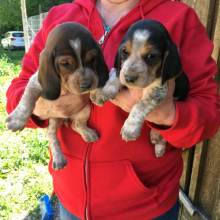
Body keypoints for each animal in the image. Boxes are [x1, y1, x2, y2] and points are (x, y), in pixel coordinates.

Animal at [6, 22, 110, 170]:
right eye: (66, 64)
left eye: (93, 59)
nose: (86, 85)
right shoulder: (35, 83)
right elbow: (27, 101)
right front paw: (17, 120)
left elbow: (97, 77)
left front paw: (97, 93)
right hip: (54, 119)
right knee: (52, 136)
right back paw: (59, 159)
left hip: (85, 110)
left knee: (76, 125)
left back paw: (88, 133)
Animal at [103, 18, 189, 156]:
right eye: (125, 51)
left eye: (151, 56)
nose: (129, 78)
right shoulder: (121, 70)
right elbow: (117, 73)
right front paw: (107, 89)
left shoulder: (158, 90)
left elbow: (139, 105)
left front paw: (130, 127)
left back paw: (158, 143)